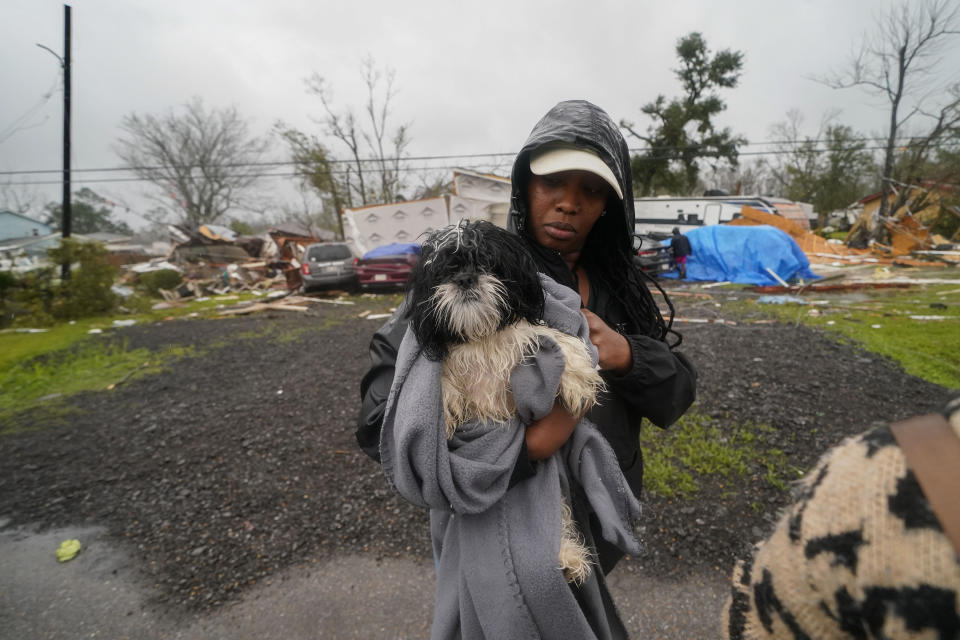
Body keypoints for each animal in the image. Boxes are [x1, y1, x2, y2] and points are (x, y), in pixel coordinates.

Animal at [406, 221, 604, 584]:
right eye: (446, 269)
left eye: (488, 262)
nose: (466, 278)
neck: (482, 337)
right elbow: (444, 378)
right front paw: (445, 409)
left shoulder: (524, 335)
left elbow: (553, 336)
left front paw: (578, 378)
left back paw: (567, 556)